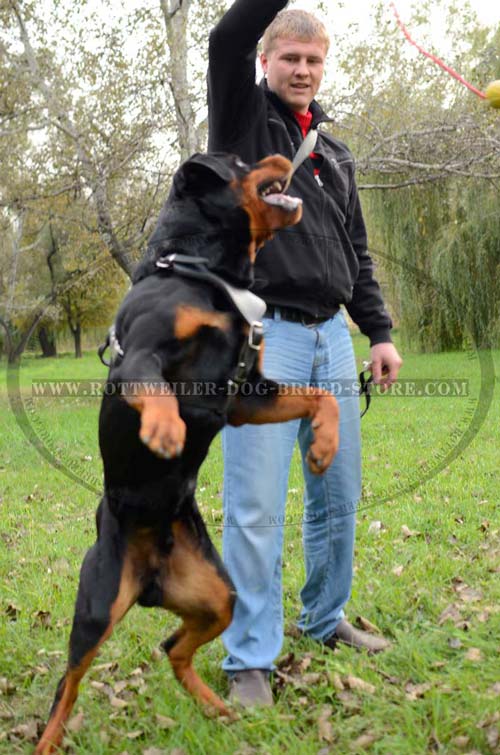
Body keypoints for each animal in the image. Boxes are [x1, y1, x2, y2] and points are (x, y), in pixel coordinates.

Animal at [37, 154, 338, 755]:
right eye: (242, 161)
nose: (280, 154)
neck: (202, 274)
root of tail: (148, 579)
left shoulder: (248, 396)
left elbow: (324, 396)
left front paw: (324, 444)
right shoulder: (140, 357)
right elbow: (156, 389)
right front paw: (165, 431)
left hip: (218, 596)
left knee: (172, 648)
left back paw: (216, 706)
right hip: (97, 606)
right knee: (68, 684)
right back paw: (47, 740)